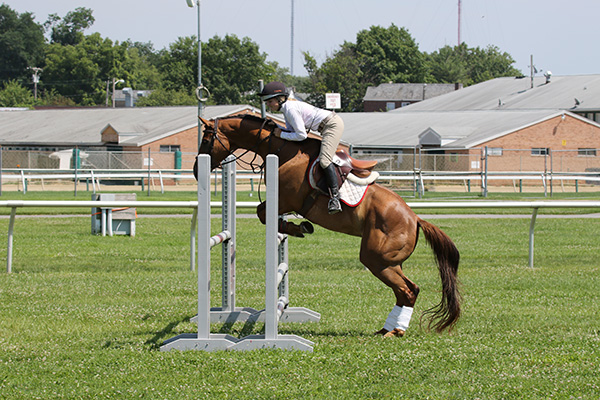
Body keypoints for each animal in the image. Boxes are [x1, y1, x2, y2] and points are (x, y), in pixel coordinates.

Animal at [196, 114, 460, 336]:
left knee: (408, 290)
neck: (282, 151)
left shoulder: (287, 199)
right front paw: (295, 227)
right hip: (390, 262)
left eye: (206, 138)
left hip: (376, 258)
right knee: (405, 291)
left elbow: (262, 212)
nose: (196, 171)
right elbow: (266, 214)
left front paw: (298, 228)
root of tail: (415, 219)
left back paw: (395, 331)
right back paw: (388, 329)